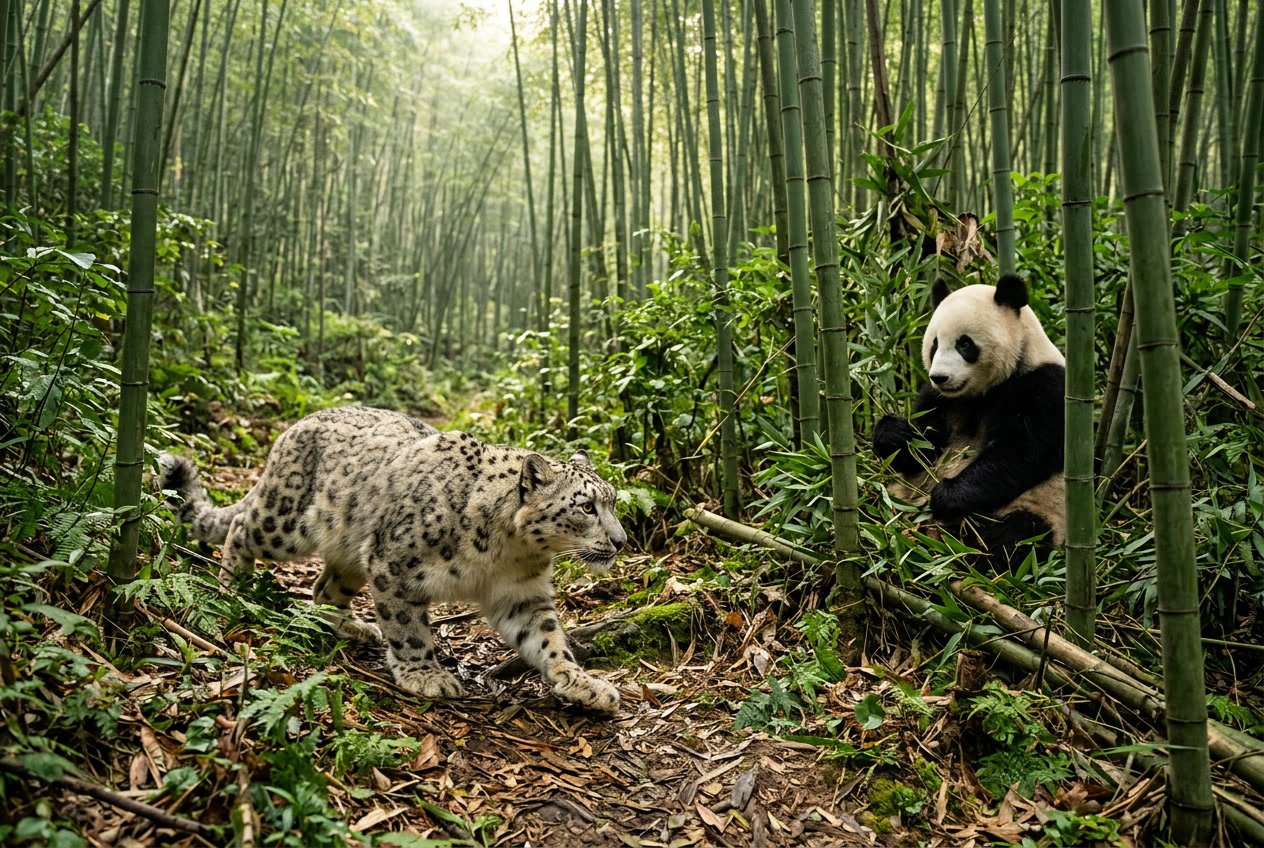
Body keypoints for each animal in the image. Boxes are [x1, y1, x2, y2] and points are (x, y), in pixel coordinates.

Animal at [872, 274, 1065, 568]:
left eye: (964, 344)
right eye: (934, 344)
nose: (940, 377)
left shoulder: (1043, 387)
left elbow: (1019, 454)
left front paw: (947, 495)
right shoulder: (942, 400)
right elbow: (923, 448)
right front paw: (894, 433)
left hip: (1041, 509)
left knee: (1017, 538)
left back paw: (970, 549)